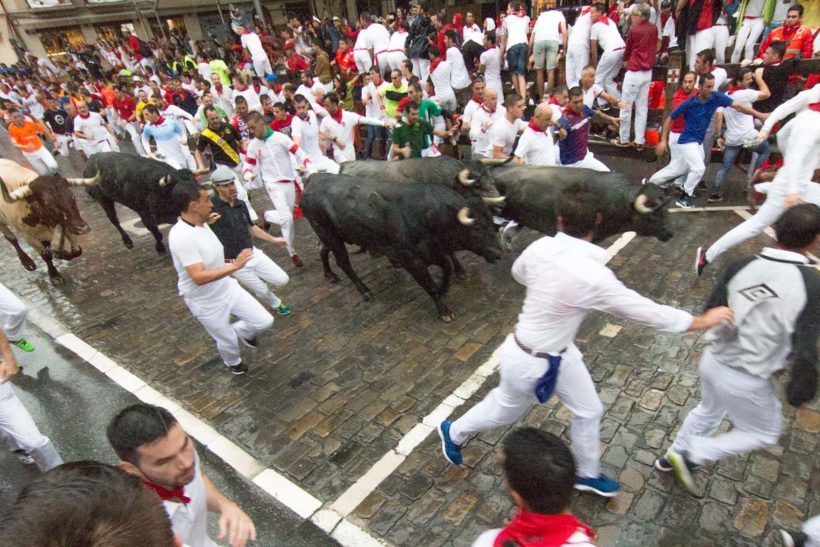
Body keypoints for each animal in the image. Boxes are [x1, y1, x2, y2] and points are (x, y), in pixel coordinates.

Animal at [302, 174, 502, 322]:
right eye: (477, 228)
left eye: (490, 221)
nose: (499, 253)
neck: (426, 216)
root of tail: (314, 178)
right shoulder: (411, 260)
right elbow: (429, 284)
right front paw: (444, 310)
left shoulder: (435, 253)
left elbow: (446, 268)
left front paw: (444, 287)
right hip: (331, 236)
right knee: (344, 263)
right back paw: (365, 292)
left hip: (327, 237)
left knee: (321, 249)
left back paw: (330, 274)